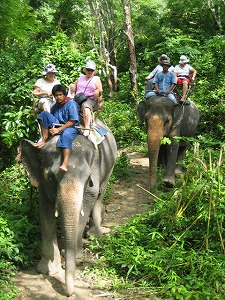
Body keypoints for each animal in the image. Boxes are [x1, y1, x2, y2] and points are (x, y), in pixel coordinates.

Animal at [18, 118, 117, 296]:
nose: (70, 293)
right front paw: (47, 269)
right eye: (51, 177)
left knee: (100, 193)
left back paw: (94, 234)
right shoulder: (43, 183)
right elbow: (46, 210)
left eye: (87, 178)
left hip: (111, 163)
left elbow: (90, 196)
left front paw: (75, 254)